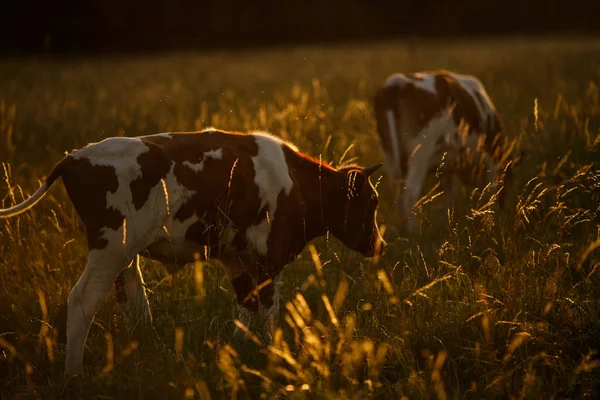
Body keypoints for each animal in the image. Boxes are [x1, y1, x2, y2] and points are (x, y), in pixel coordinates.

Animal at [0, 129, 382, 376]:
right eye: (373, 201)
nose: (380, 244)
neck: (295, 182)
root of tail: (75, 158)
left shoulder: (235, 256)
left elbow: (247, 305)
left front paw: (241, 349)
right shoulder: (269, 255)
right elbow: (269, 309)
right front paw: (274, 353)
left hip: (124, 255)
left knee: (134, 302)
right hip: (110, 249)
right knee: (82, 300)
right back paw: (74, 374)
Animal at [376, 69, 510, 231]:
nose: (503, 215)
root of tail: (399, 81)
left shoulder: (445, 168)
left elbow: (447, 196)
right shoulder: (490, 160)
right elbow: (492, 189)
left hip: (390, 154)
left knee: (398, 193)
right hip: (420, 153)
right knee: (411, 191)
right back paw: (414, 231)